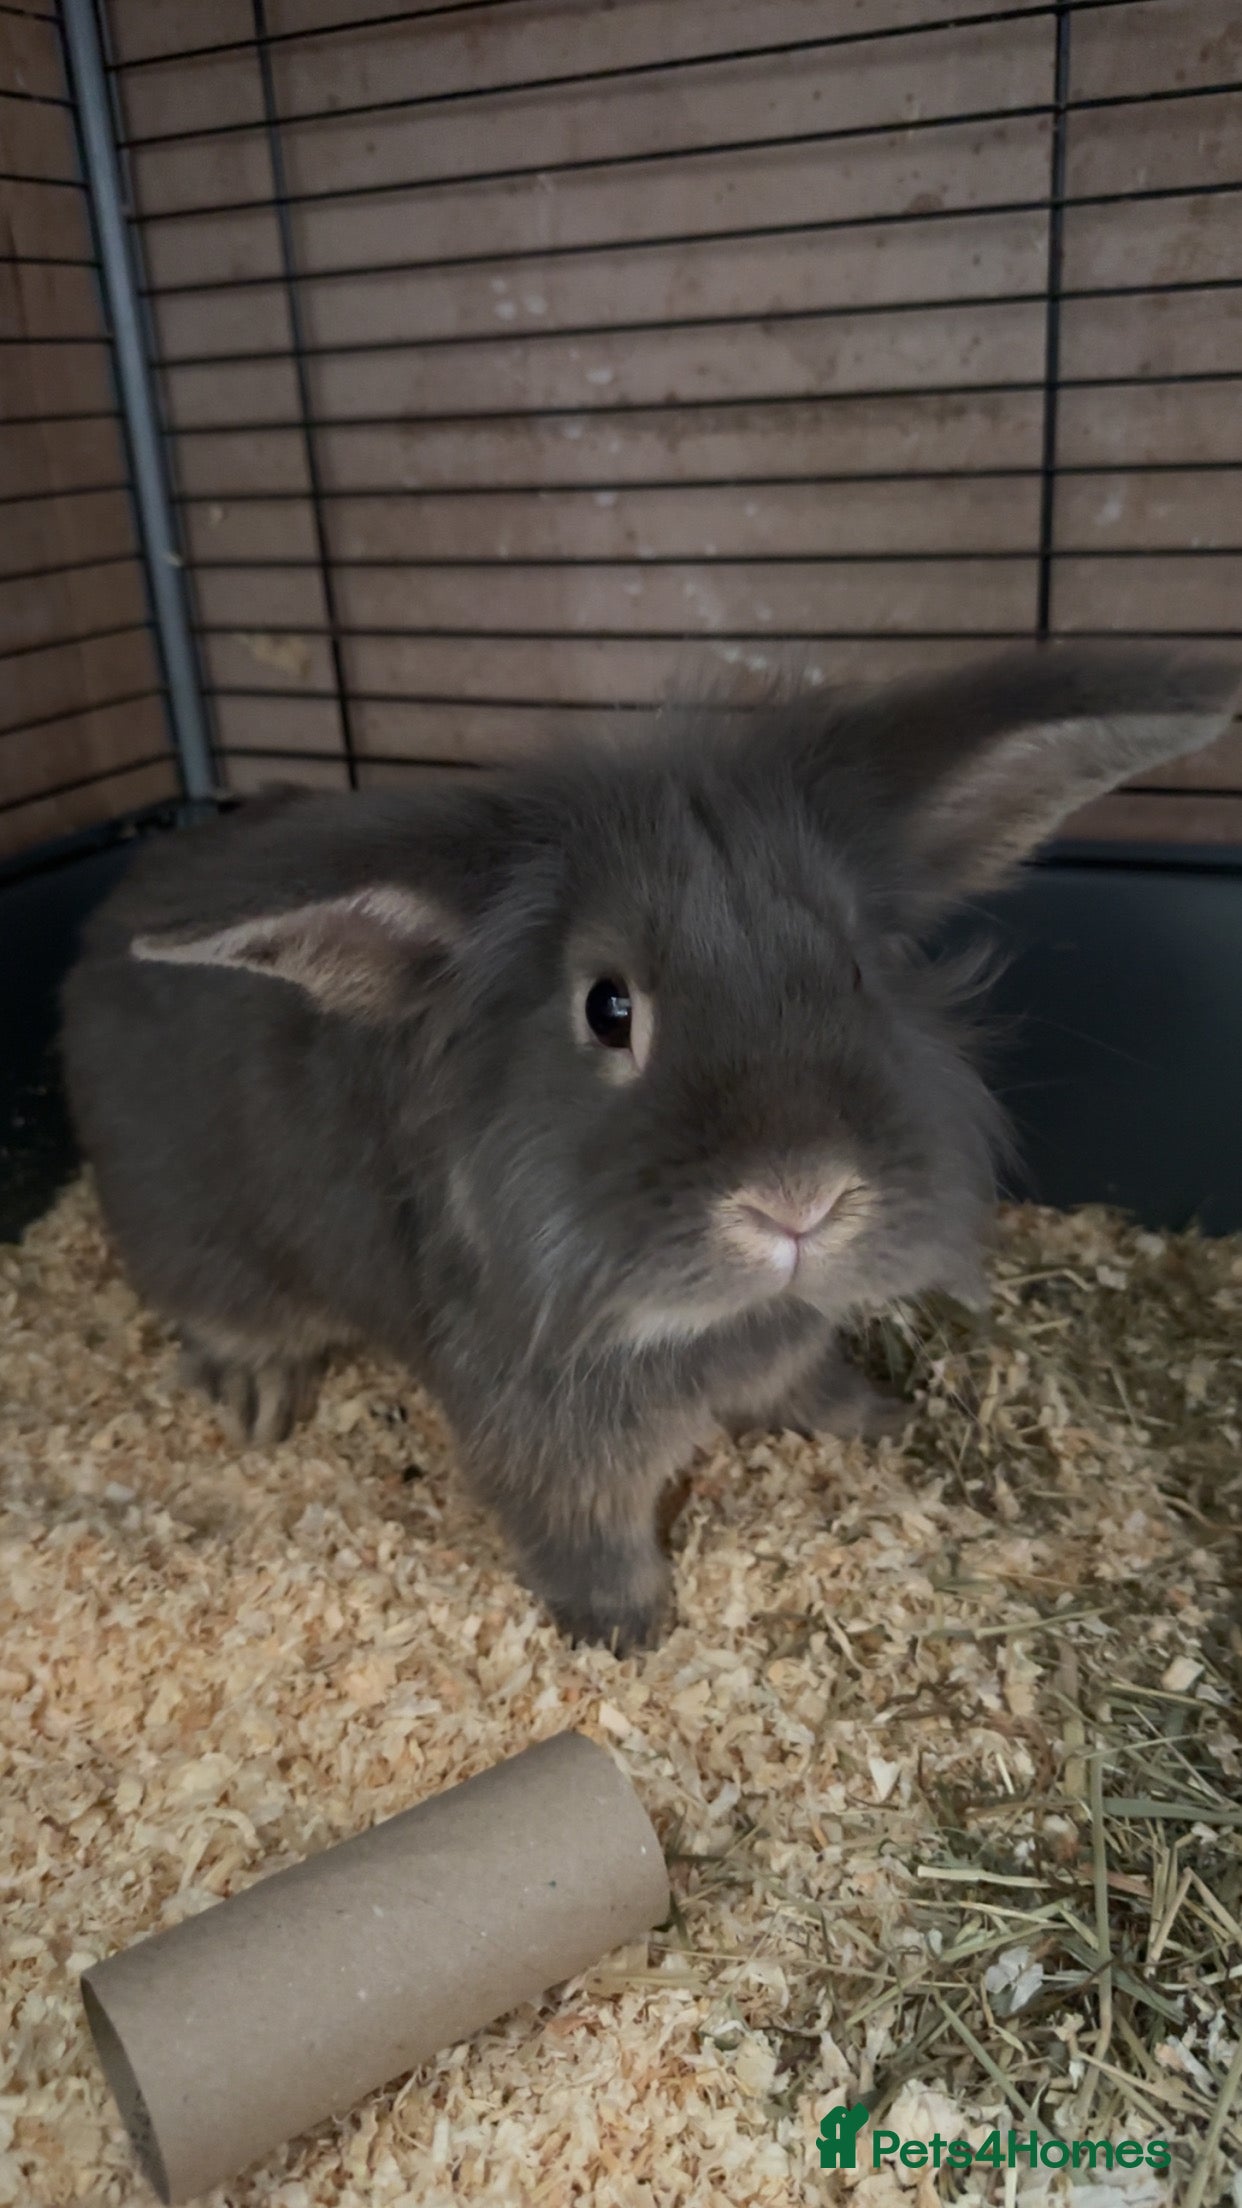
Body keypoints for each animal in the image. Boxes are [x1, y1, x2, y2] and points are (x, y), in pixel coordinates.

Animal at [60, 645, 1239, 1651]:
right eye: (607, 1008)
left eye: (860, 966)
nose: (799, 1199)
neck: (716, 1319)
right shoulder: (550, 1435)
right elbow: (585, 1529)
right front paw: (624, 1630)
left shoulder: (783, 1345)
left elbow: (808, 1386)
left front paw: (877, 1418)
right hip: (193, 1244)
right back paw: (258, 1394)